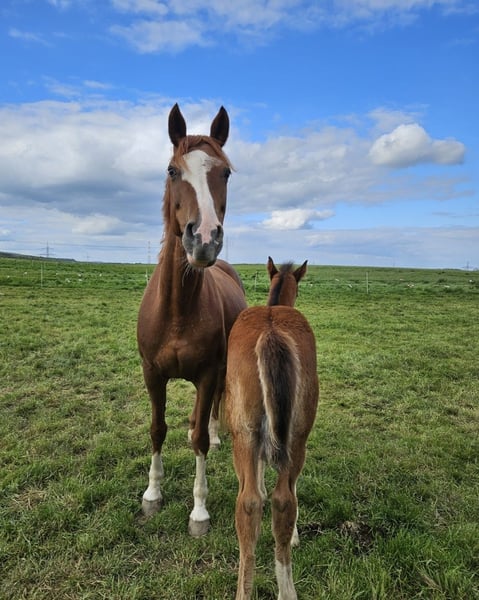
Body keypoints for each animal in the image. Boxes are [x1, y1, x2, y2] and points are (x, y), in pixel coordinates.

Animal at [137, 104, 247, 537]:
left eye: (226, 172)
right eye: (172, 170)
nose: (203, 239)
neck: (178, 310)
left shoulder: (206, 373)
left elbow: (198, 439)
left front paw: (199, 511)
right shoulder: (152, 373)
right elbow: (157, 429)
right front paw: (152, 494)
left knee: (212, 410)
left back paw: (216, 437)